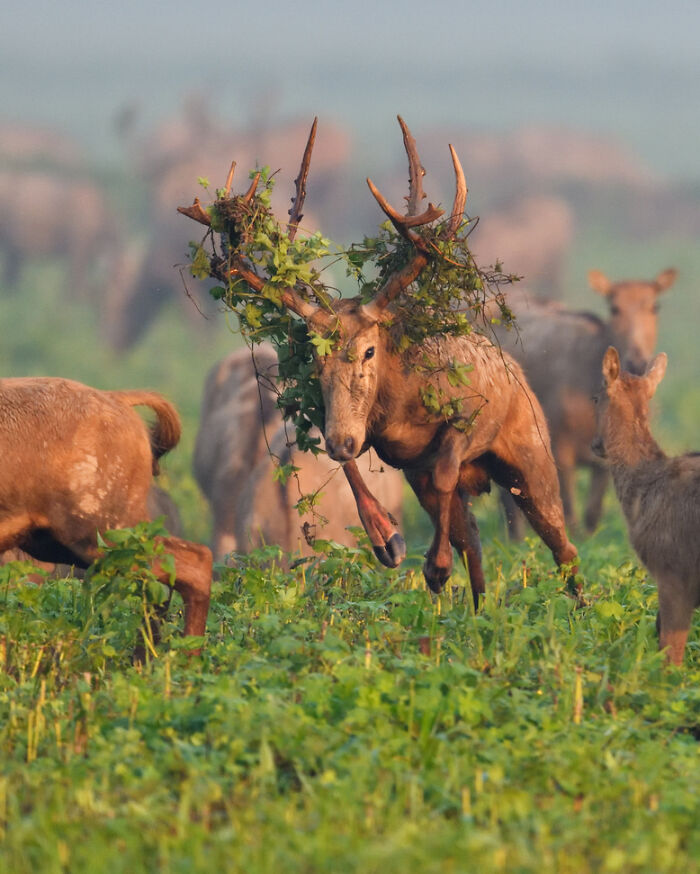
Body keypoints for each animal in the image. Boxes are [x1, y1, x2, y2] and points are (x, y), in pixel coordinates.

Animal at [497, 267, 677, 537]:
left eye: (654, 306)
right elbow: (569, 514)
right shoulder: (560, 447)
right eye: (614, 307)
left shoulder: (604, 459)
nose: (637, 360)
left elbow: (592, 514)